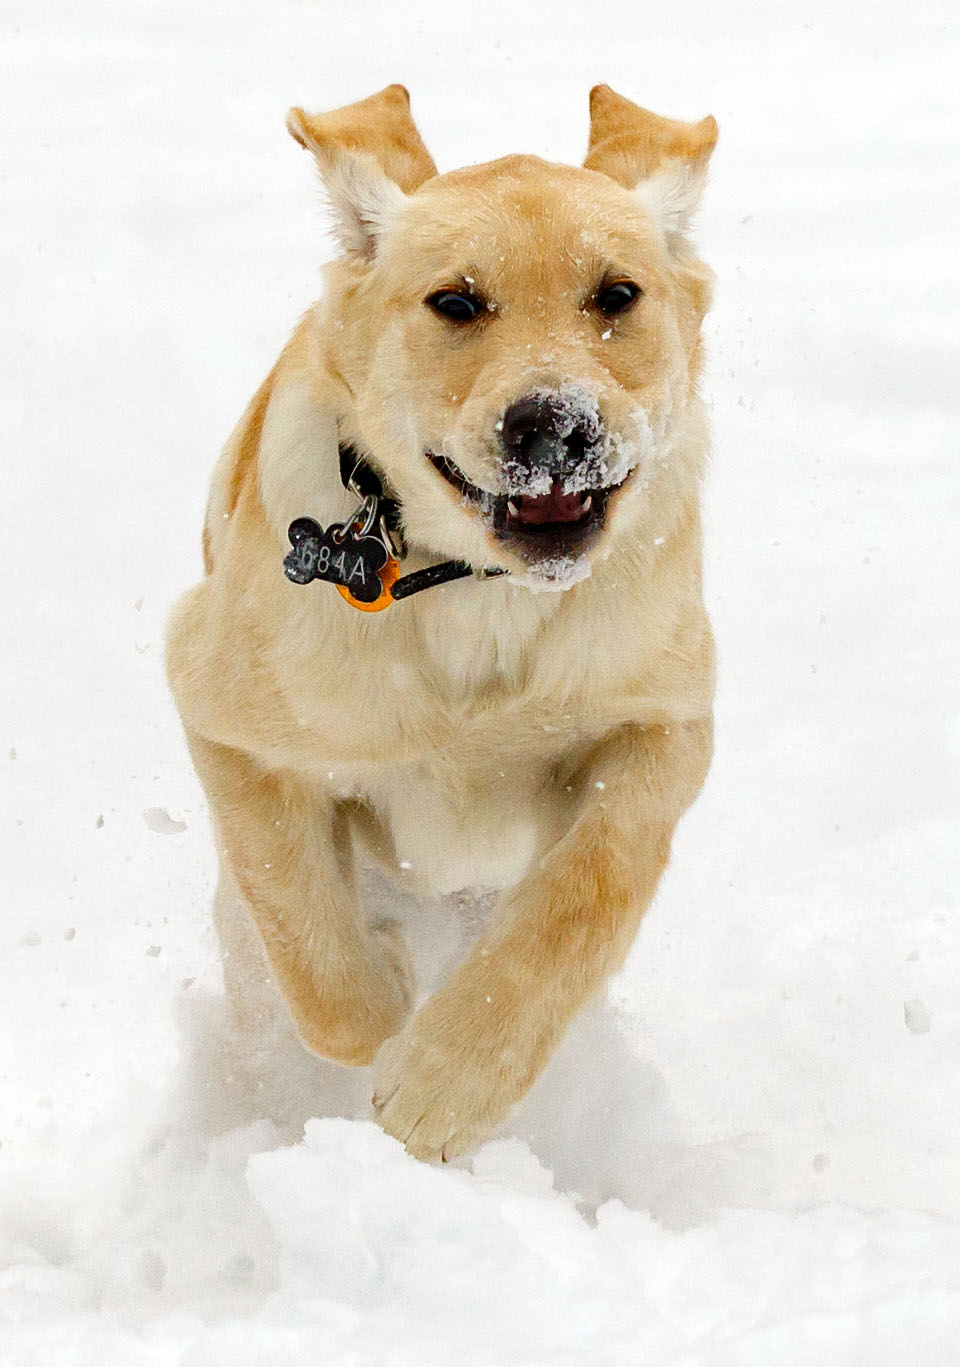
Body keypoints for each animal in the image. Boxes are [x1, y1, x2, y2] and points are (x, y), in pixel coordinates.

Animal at [167, 82, 722, 1164]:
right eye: (457, 303)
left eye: (617, 296)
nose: (554, 425)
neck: (483, 592)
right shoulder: (221, 715)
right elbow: (306, 928)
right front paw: (384, 1006)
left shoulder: (666, 722)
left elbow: (583, 894)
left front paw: (446, 1085)